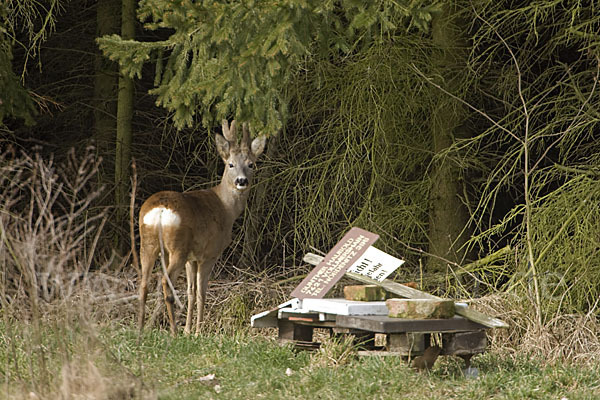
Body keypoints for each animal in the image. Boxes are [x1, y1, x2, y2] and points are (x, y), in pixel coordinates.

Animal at [139, 119, 266, 334]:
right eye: (230, 164)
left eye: (251, 164)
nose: (241, 181)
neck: (226, 208)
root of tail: (161, 211)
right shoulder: (209, 253)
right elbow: (201, 293)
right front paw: (198, 332)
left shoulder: (192, 258)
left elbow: (191, 292)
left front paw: (188, 330)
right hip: (178, 247)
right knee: (165, 281)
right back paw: (173, 330)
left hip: (148, 243)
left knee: (143, 284)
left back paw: (141, 328)